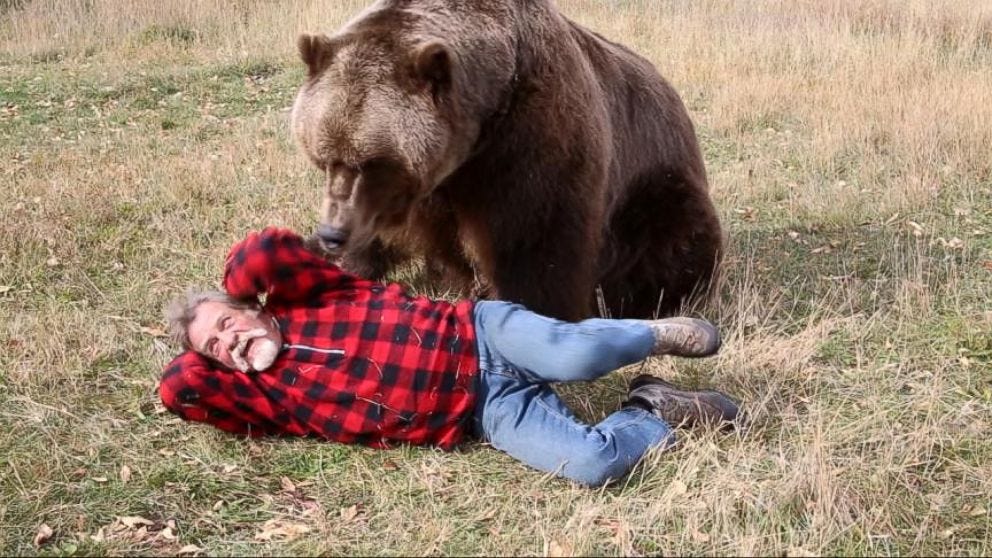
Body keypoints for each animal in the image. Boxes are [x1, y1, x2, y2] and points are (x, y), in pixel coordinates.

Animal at [290, 0, 723, 322]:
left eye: (374, 162)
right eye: (324, 158)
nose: (333, 233)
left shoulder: (531, 144)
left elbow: (537, 243)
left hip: (654, 191)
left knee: (667, 250)